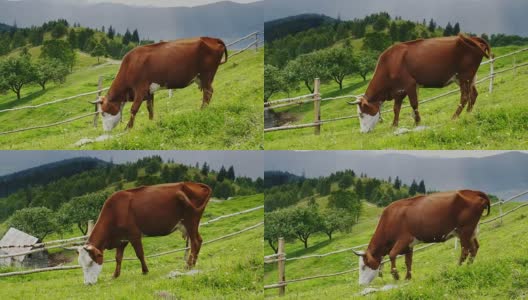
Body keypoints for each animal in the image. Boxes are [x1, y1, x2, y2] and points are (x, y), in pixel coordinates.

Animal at [77, 182, 212, 284]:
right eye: (81, 264)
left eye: (90, 262)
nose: (88, 283)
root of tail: (193, 184)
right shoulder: (122, 239)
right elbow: (118, 258)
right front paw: (115, 275)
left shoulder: (134, 235)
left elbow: (139, 254)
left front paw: (145, 271)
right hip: (190, 224)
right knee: (198, 241)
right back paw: (192, 264)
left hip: (191, 220)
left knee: (195, 242)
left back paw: (189, 265)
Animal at [96, 37, 228, 131]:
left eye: (103, 113)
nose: (106, 131)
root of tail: (211, 38)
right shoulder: (149, 91)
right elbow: (150, 107)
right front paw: (151, 122)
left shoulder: (140, 89)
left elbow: (134, 109)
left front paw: (128, 128)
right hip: (202, 78)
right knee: (208, 92)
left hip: (207, 75)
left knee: (208, 92)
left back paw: (202, 110)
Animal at [350, 34, 490, 132]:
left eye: (361, 114)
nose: (362, 132)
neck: (390, 64)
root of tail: (471, 37)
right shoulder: (399, 91)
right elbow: (396, 108)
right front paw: (394, 125)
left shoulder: (410, 84)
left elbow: (414, 104)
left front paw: (417, 122)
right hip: (467, 78)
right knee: (474, 94)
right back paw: (468, 113)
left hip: (464, 76)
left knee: (465, 96)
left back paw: (454, 117)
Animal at [350, 190, 490, 286]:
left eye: (364, 266)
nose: (360, 284)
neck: (390, 219)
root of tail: (473, 191)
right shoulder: (409, 246)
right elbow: (408, 261)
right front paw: (407, 278)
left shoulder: (404, 239)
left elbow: (392, 255)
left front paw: (396, 276)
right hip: (470, 231)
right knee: (475, 248)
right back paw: (468, 266)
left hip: (465, 230)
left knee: (466, 250)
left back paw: (458, 267)